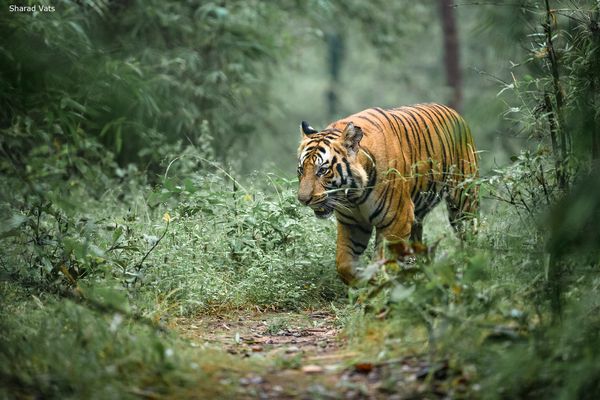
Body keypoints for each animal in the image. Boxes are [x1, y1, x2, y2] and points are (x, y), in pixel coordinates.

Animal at [298, 103, 480, 284]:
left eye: (322, 170)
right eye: (301, 170)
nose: (303, 200)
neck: (353, 197)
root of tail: (453, 111)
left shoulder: (398, 221)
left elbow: (383, 263)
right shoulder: (352, 223)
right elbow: (343, 264)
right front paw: (362, 282)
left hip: (463, 202)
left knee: (469, 235)